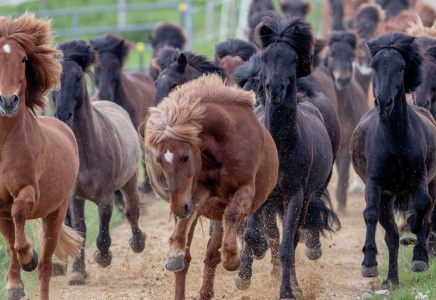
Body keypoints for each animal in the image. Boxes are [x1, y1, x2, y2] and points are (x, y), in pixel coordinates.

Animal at [0, 13, 83, 300]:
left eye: (24, 59)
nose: (8, 101)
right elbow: (11, 243)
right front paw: (14, 285)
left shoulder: (29, 192)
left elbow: (19, 215)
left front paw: (29, 256)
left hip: (56, 213)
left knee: (46, 267)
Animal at [52, 40, 146, 286]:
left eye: (77, 77)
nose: (63, 115)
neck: (87, 151)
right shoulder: (75, 198)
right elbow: (80, 231)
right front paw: (78, 272)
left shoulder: (105, 198)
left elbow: (103, 234)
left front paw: (102, 257)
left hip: (130, 181)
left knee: (132, 211)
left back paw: (138, 242)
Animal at [144, 74, 280, 298]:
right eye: (159, 160)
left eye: (185, 157)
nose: (177, 207)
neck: (225, 141)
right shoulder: (201, 190)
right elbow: (189, 218)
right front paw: (175, 253)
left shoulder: (245, 190)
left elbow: (232, 214)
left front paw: (232, 256)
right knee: (189, 255)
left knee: (212, 251)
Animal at [237, 12, 342, 300]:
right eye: (264, 57)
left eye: (293, 59)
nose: (274, 89)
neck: (281, 147)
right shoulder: (259, 192)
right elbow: (254, 234)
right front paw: (246, 271)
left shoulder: (294, 194)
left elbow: (286, 245)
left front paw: (288, 290)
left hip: (304, 196)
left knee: (291, 239)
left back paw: (292, 282)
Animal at [350, 31, 436, 290]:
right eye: (374, 65)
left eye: (401, 67)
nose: (383, 103)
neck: (394, 139)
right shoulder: (374, 183)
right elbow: (370, 214)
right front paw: (369, 263)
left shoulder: (420, 177)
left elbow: (422, 206)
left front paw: (414, 232)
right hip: (386, 198)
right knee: (390, 235)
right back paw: (392, 279)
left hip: (431, 182)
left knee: (428, 213)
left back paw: (418, 257)